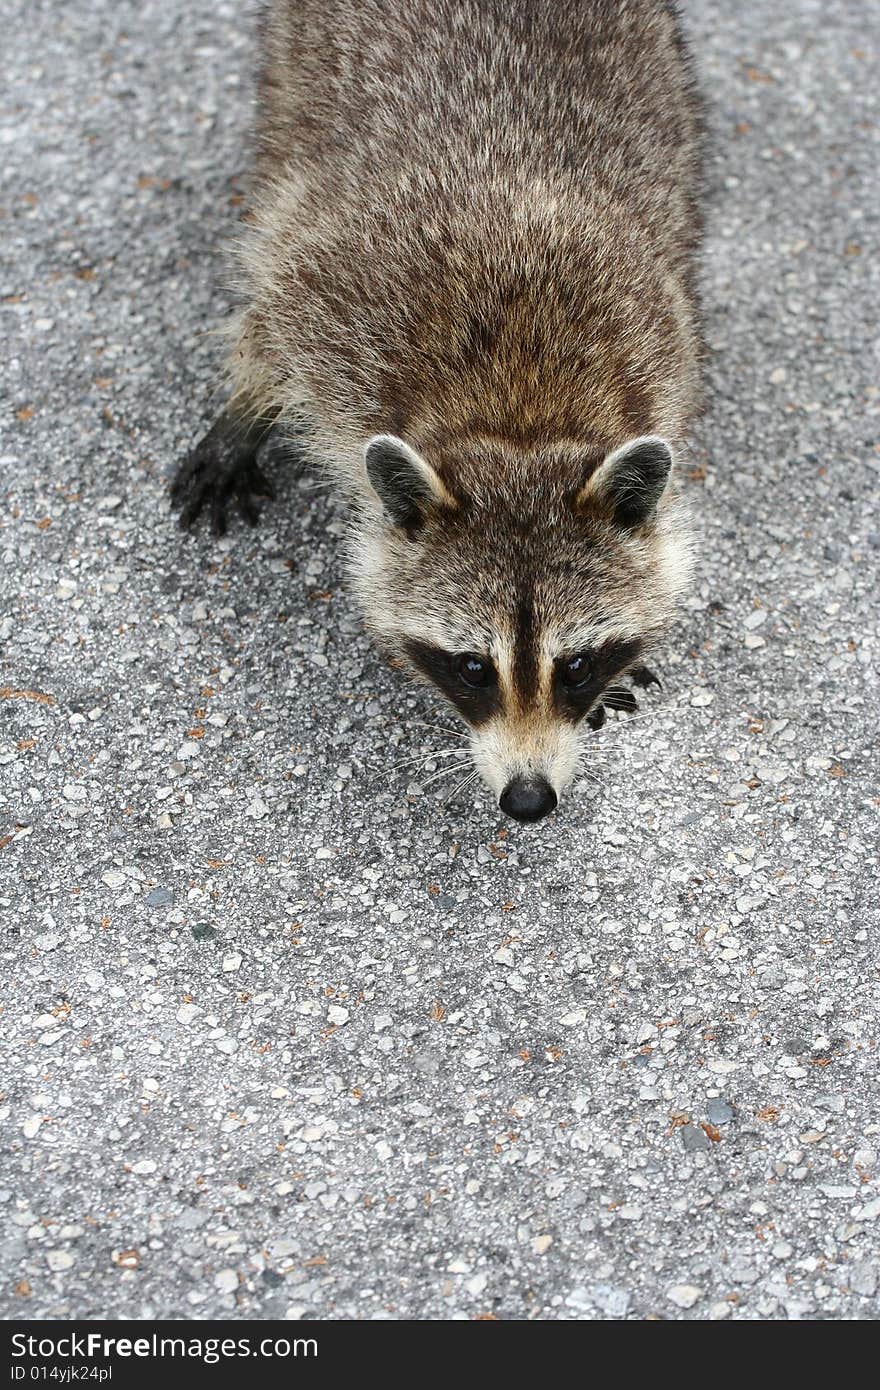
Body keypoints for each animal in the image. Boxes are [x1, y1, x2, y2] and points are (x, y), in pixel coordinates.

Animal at [175, 0, 703, 817]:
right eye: (472, 667)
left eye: (578, 665)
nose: (528, 800)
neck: (519, 413)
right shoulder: (330, 302)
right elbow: (268, 308)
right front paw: (246, 406)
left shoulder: (662, 344)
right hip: (292, 73)